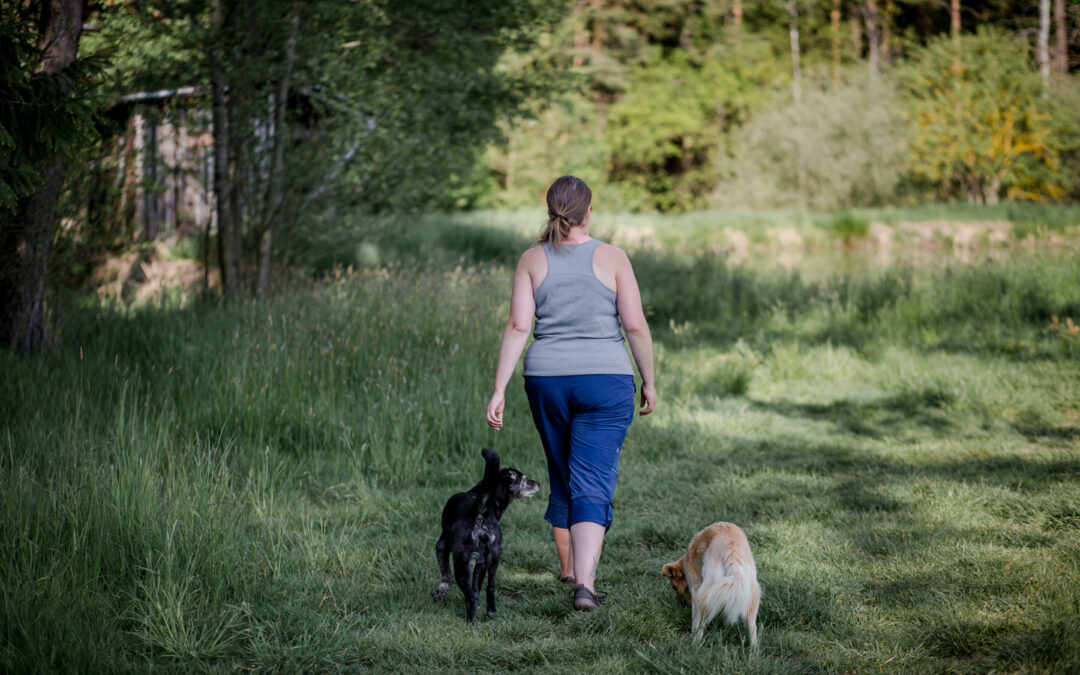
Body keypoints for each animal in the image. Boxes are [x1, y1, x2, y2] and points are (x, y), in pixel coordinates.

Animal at [432, 447, 540, 622]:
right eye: (524, 479)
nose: (538, 483)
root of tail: (479, 511)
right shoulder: (481, 562)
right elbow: (476, 588)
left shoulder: (442, 546)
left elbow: (446, 575)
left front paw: (440, 592)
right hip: (494, 556)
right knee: (490, 586)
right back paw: (491, 610)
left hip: (461, 563)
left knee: (468, 594)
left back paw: (469, 621)